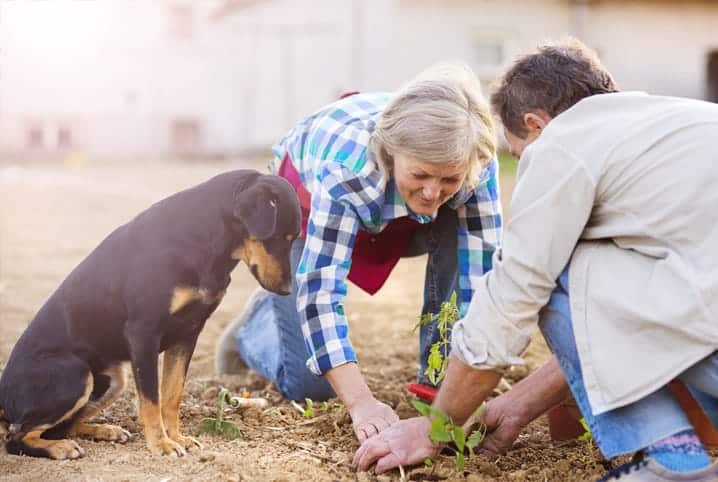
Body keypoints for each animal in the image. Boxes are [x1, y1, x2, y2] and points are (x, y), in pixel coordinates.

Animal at [0, 170, 300, 460]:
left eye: (293, 239)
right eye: (280, 237)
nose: (287, 290)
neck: (204, 239)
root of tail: (3, 394)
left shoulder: (188, 334)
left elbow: (172, 394)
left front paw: (177, 437)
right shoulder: (144, 334)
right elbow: (151, 400)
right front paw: (161, 444)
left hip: (114, 380)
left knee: (60, 427)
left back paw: (104, 431)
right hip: (76, 373)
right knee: (16, 438)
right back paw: (60, 448)